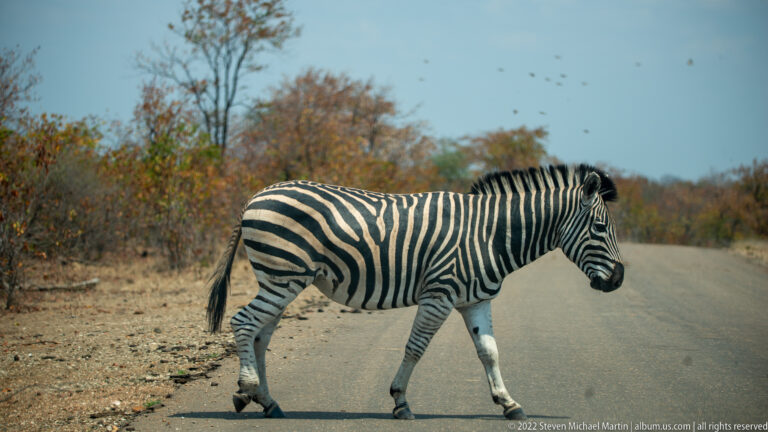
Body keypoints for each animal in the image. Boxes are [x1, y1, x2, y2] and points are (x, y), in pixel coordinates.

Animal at [206, 164, 624, 420]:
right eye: (601, 229)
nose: (619, 280)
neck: (489, 235)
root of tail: (257, 195)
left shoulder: (476, 300)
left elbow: (489, 352)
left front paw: (509, 404)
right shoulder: (439, 294)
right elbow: (415, 348)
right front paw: (400, 402)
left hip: (282, 279)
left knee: (261, 336)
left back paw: (268, 402)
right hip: (284, 276)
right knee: (244, 323)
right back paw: (245, 390)